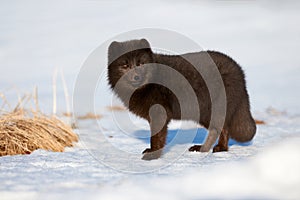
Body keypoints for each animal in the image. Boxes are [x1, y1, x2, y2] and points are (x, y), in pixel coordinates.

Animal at [107, 38, 255, 160]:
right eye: (125, 65)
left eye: (140, 64)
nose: (136, 77)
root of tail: (240, 73)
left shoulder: (159, 112)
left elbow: (156, 137)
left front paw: (153, 156)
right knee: (224, 128)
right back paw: (218, 148)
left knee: (218, 129)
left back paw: (204, 149)